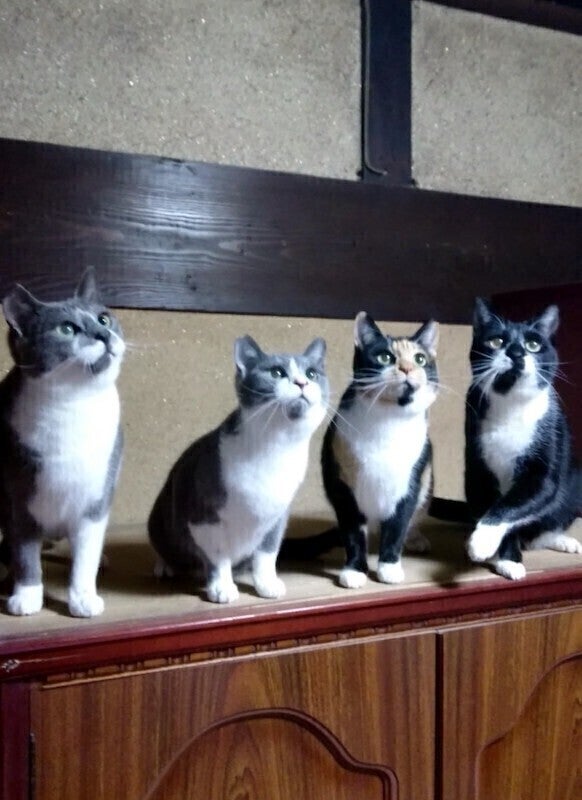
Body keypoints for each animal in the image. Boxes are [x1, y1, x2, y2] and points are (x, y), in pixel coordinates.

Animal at [0, 268, 125, 617]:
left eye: (104, 318)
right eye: (67, 329)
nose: (103, 334)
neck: (74, 406)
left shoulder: (96, 498)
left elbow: (85, 556)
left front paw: (83, 598)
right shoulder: (18, 497)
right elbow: (25, 552)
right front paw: (26, 596)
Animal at [148, 335, 328, 604]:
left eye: (312, 373)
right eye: (276, 372)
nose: (302, 382)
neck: (277, 448)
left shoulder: (278, 517)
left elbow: (267, 554)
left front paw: (267, 584)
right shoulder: (204, 517)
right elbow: (218, 555)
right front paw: (222, 587)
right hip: (160, 517)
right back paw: (165, 566)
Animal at [280, 312, 439, 588]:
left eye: (420, 359)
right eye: (385, 357)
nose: (408, 369)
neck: (388, 422)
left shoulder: (411, 482)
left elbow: (397, 527)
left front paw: (389, 567)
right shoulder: (343, 486)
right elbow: (353, 533)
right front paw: (354, 571)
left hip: (427, 483)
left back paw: (416, 539)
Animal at [465, 298, 581, 580]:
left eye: (533, 345)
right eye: (496, 341)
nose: (516, 353)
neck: (511, 406)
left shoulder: (543, 467)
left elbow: (517, 503)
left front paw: (483, 541)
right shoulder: (480, 468)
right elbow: (497, 503)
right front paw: (505, 559)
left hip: (575, 485)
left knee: (544, 527)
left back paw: (563, 540)